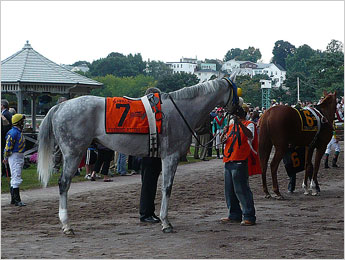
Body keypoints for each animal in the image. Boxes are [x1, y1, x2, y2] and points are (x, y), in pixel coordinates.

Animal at [37, 74, 239, 234]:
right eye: (237, 91)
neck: (180, 110)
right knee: (64, 184)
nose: (241, 109)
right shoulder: (171, 156)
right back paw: (67, 225)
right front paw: (165, 222)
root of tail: (61, 107)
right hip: (74, 152)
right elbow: (167, 187)